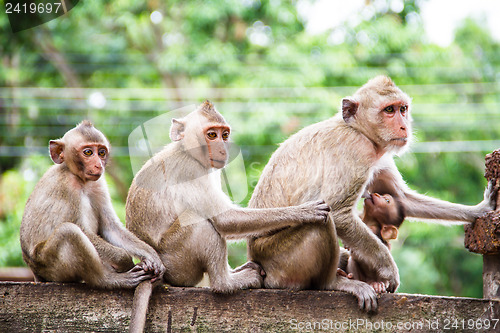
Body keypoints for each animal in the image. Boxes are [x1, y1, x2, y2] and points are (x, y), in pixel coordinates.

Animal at [20, 120, 164, 288]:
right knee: (69, 232)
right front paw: (126, 261)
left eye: (101, 153)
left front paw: (152, 256)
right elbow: (82, 230)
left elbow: (111, 227)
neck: (79, 178)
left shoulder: (98, 184)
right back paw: (108, 279)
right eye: (88, 152)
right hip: (50, 267)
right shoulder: (68, 186)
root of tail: (35, 273)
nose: (98, 165)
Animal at [126, 100, 328, 292]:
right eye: (211, 135)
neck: (186, 151)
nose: (223, 149)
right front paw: (304, 212)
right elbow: (225, 219)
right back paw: (226, 282)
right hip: (176, 262)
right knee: (199, 222)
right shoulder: (190, 170)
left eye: (224, 135)